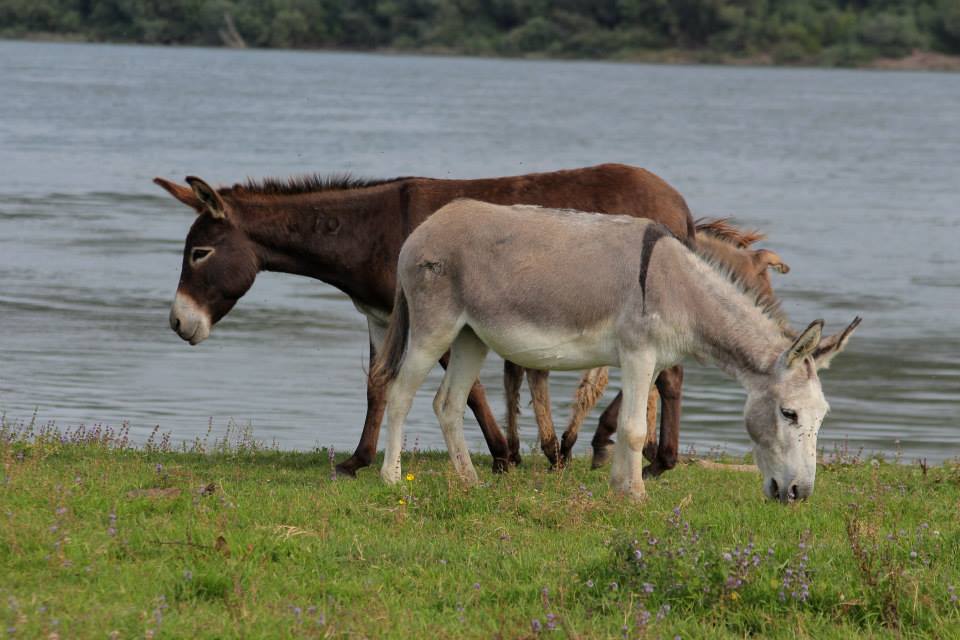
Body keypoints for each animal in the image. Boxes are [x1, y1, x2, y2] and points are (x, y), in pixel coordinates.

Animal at [157, 164, 696, 476]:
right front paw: (357, 460)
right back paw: (643, 455)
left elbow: (469, 391)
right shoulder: (382, 317)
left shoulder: (440, 314)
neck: (369, 232)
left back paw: (658, 462)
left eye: (200, 253)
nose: (178, 323)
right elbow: (377, 385)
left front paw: (502, 456)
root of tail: (677, 199)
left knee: (668, 376)